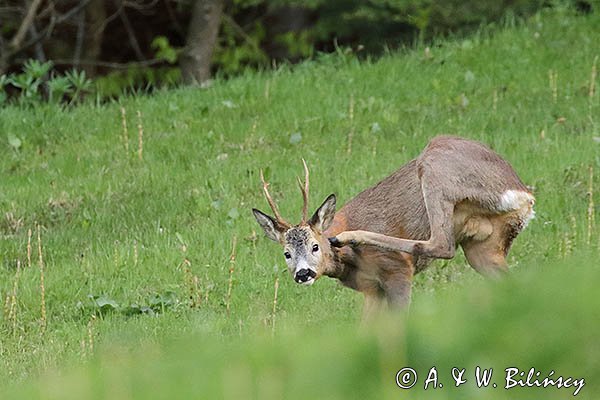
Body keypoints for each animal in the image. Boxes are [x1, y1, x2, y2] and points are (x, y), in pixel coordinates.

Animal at [252, 136, 536, 320]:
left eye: (314, 246)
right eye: (286, 253)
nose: (303, 273)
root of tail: (522, 193)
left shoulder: (396, 272)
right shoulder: (372, 290)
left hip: (435, 166)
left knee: (442, 244)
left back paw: (348, 236)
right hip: (485, 246)